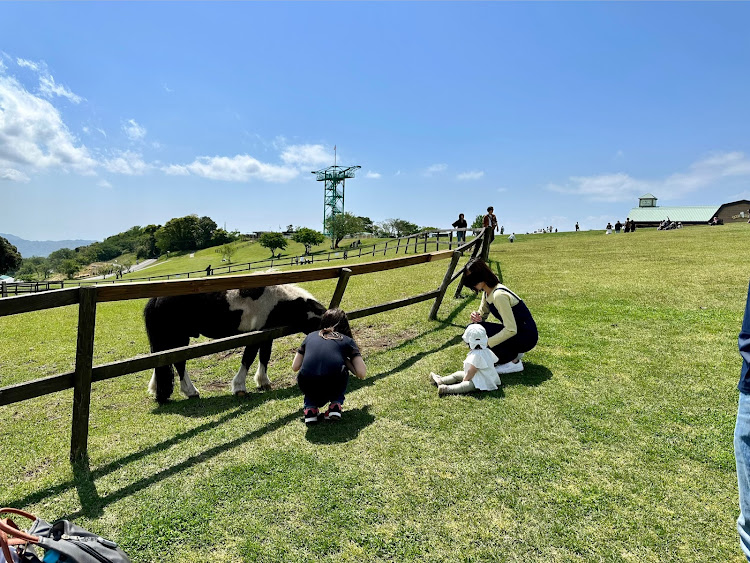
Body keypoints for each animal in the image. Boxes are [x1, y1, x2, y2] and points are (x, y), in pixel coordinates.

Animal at [144, 286, 326, 406]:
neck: (275, 300)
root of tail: (156, 298)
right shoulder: (254, 336)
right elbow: (248, 359)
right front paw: (239, 387)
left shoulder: (266, 335)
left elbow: (264, 357)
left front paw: (263, 382)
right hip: (179, 340)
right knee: (179, 363)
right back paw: (191, 391)